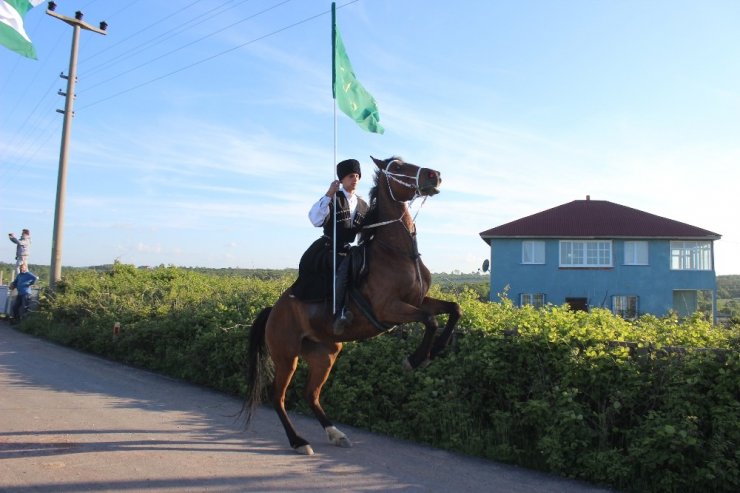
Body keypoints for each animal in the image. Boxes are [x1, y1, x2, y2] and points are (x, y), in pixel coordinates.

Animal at [246, 156, 460, 456]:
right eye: (397, 168)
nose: (434, 175)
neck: (398, 252)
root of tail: (273, 311)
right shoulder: (389, 309)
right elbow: (431, 320)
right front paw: (416, 359)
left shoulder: (417, 301)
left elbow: (453, 309)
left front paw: (436, 349)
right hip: (286, 356)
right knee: (278, 397)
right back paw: (299, 441)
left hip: (325, 354)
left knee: (311, 394)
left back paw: (335, 434)